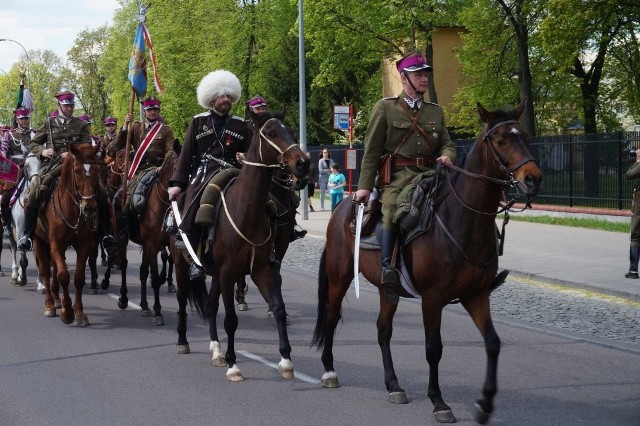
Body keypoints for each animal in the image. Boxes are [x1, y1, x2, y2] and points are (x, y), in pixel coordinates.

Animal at [33, 143, 105, 326]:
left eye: (97, 170)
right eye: (77, 170)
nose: (90, 208)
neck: (73, 210)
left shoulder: (85, 245)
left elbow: (78, 278)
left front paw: (79, 313)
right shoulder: (56, 243)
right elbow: (64, 275)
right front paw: (67, 312)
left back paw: (57, 300)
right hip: (38, 240)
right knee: (46, 271)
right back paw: (50, 304)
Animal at [105, 151, 179, 326]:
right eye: (175, 168)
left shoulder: (157, 246)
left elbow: (156, 270)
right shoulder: (152, 246)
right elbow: (155, 279)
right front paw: (158, 312)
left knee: (143, 271)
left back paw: (144, 305)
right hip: (121, 236)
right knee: (122, 262)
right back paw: (122, 297)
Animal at [171, 111, 308, 382]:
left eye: (292, 131)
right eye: (272, 133)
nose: (303, 163)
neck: (247, 211)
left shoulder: (262, 269)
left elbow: (279, 308)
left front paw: (286, 360)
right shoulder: (228, 274)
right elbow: (232, 320)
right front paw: (234, 365)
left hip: (215, 274)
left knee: (211, 306)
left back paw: (216, 351)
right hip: (182, 265)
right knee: (182, 300)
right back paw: (183, 341)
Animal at [312, 100, 544, 422]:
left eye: (524, 136)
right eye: (500, 140)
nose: (532, 178)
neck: (463, 219)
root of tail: (344, 206)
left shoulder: (476, 295)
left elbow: (493, 343)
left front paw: (485, 403)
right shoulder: (433, 298)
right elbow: (433, 348)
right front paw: (438, 401)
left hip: (387, 289)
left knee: (383, 330)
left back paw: (393, 385)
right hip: (339, 276)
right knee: (332, 317)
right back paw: (329, 371)